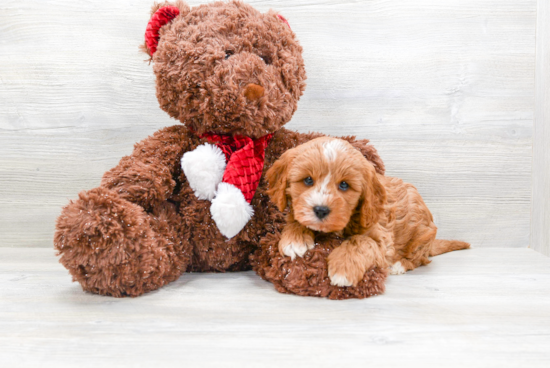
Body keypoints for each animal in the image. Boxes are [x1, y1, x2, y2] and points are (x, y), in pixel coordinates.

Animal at [268, 137, 470, 286]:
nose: (321, 210)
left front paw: (343, 269)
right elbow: (296, 218)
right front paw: (294, 239)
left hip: (421, 237)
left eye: (344, 185)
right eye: (308, 180)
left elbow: (361, 242)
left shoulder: (383, 241)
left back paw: (399, 265)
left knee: (419, 258)